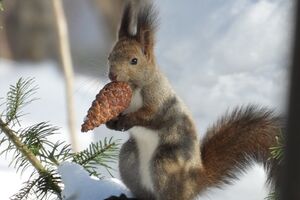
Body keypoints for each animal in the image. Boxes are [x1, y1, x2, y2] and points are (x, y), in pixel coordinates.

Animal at [105, 3, 282, 200]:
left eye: (134, 61)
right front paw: (111, 121)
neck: (134, 89)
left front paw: (125, 121)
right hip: (129, 160)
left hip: (164, 165)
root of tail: (195, 182)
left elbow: (149, 116)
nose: (112, 75)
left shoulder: (160, 101)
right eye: (109, 56)